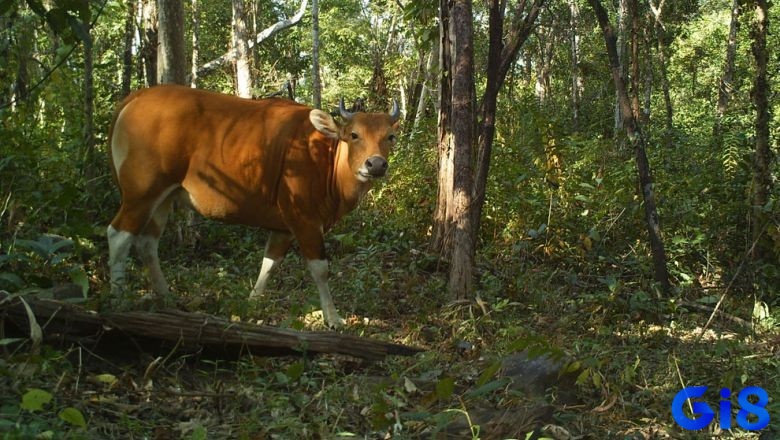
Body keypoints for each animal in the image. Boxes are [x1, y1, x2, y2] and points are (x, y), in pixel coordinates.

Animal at [106, 86, 400, 326]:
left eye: (390, 137)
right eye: (353, 134)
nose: (375, 164)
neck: (325, 159)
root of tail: (137, 96)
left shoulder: (284, 225)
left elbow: (269, 263)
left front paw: (252, 303)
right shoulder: (304, 218)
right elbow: (320, 269)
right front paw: (334, 318)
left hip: (163, 197)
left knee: (147, 243)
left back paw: (166, 297)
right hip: (142, 192)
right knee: (119, 235)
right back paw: (119, 298)